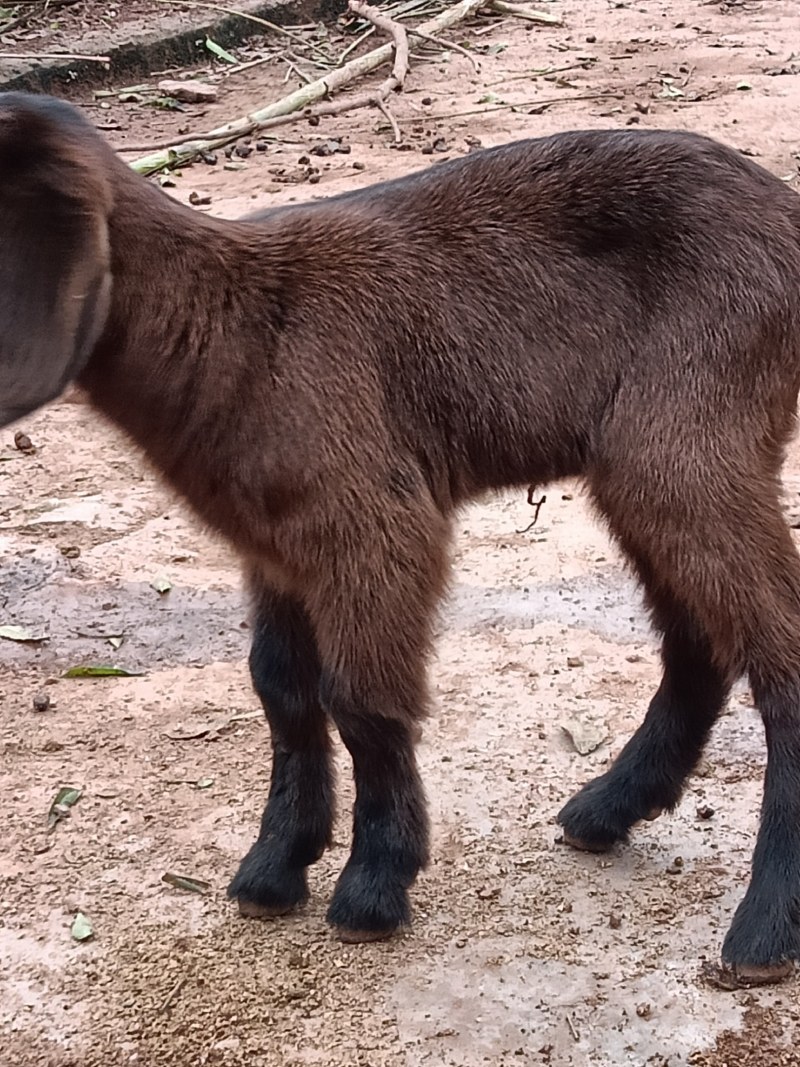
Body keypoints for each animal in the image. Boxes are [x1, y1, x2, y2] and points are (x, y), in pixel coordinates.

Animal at [1, 91, 800, 981]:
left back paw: (766, 923)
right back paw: (606, 809)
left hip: (691, 432)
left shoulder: (375, 520)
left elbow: (362, 699)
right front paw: (275, 864)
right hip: (647, 465)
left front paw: (374, 884)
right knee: (699, 640)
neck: (234, 325)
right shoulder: (274, 549)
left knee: (775, 645)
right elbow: (280, 689)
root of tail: (786, 215)